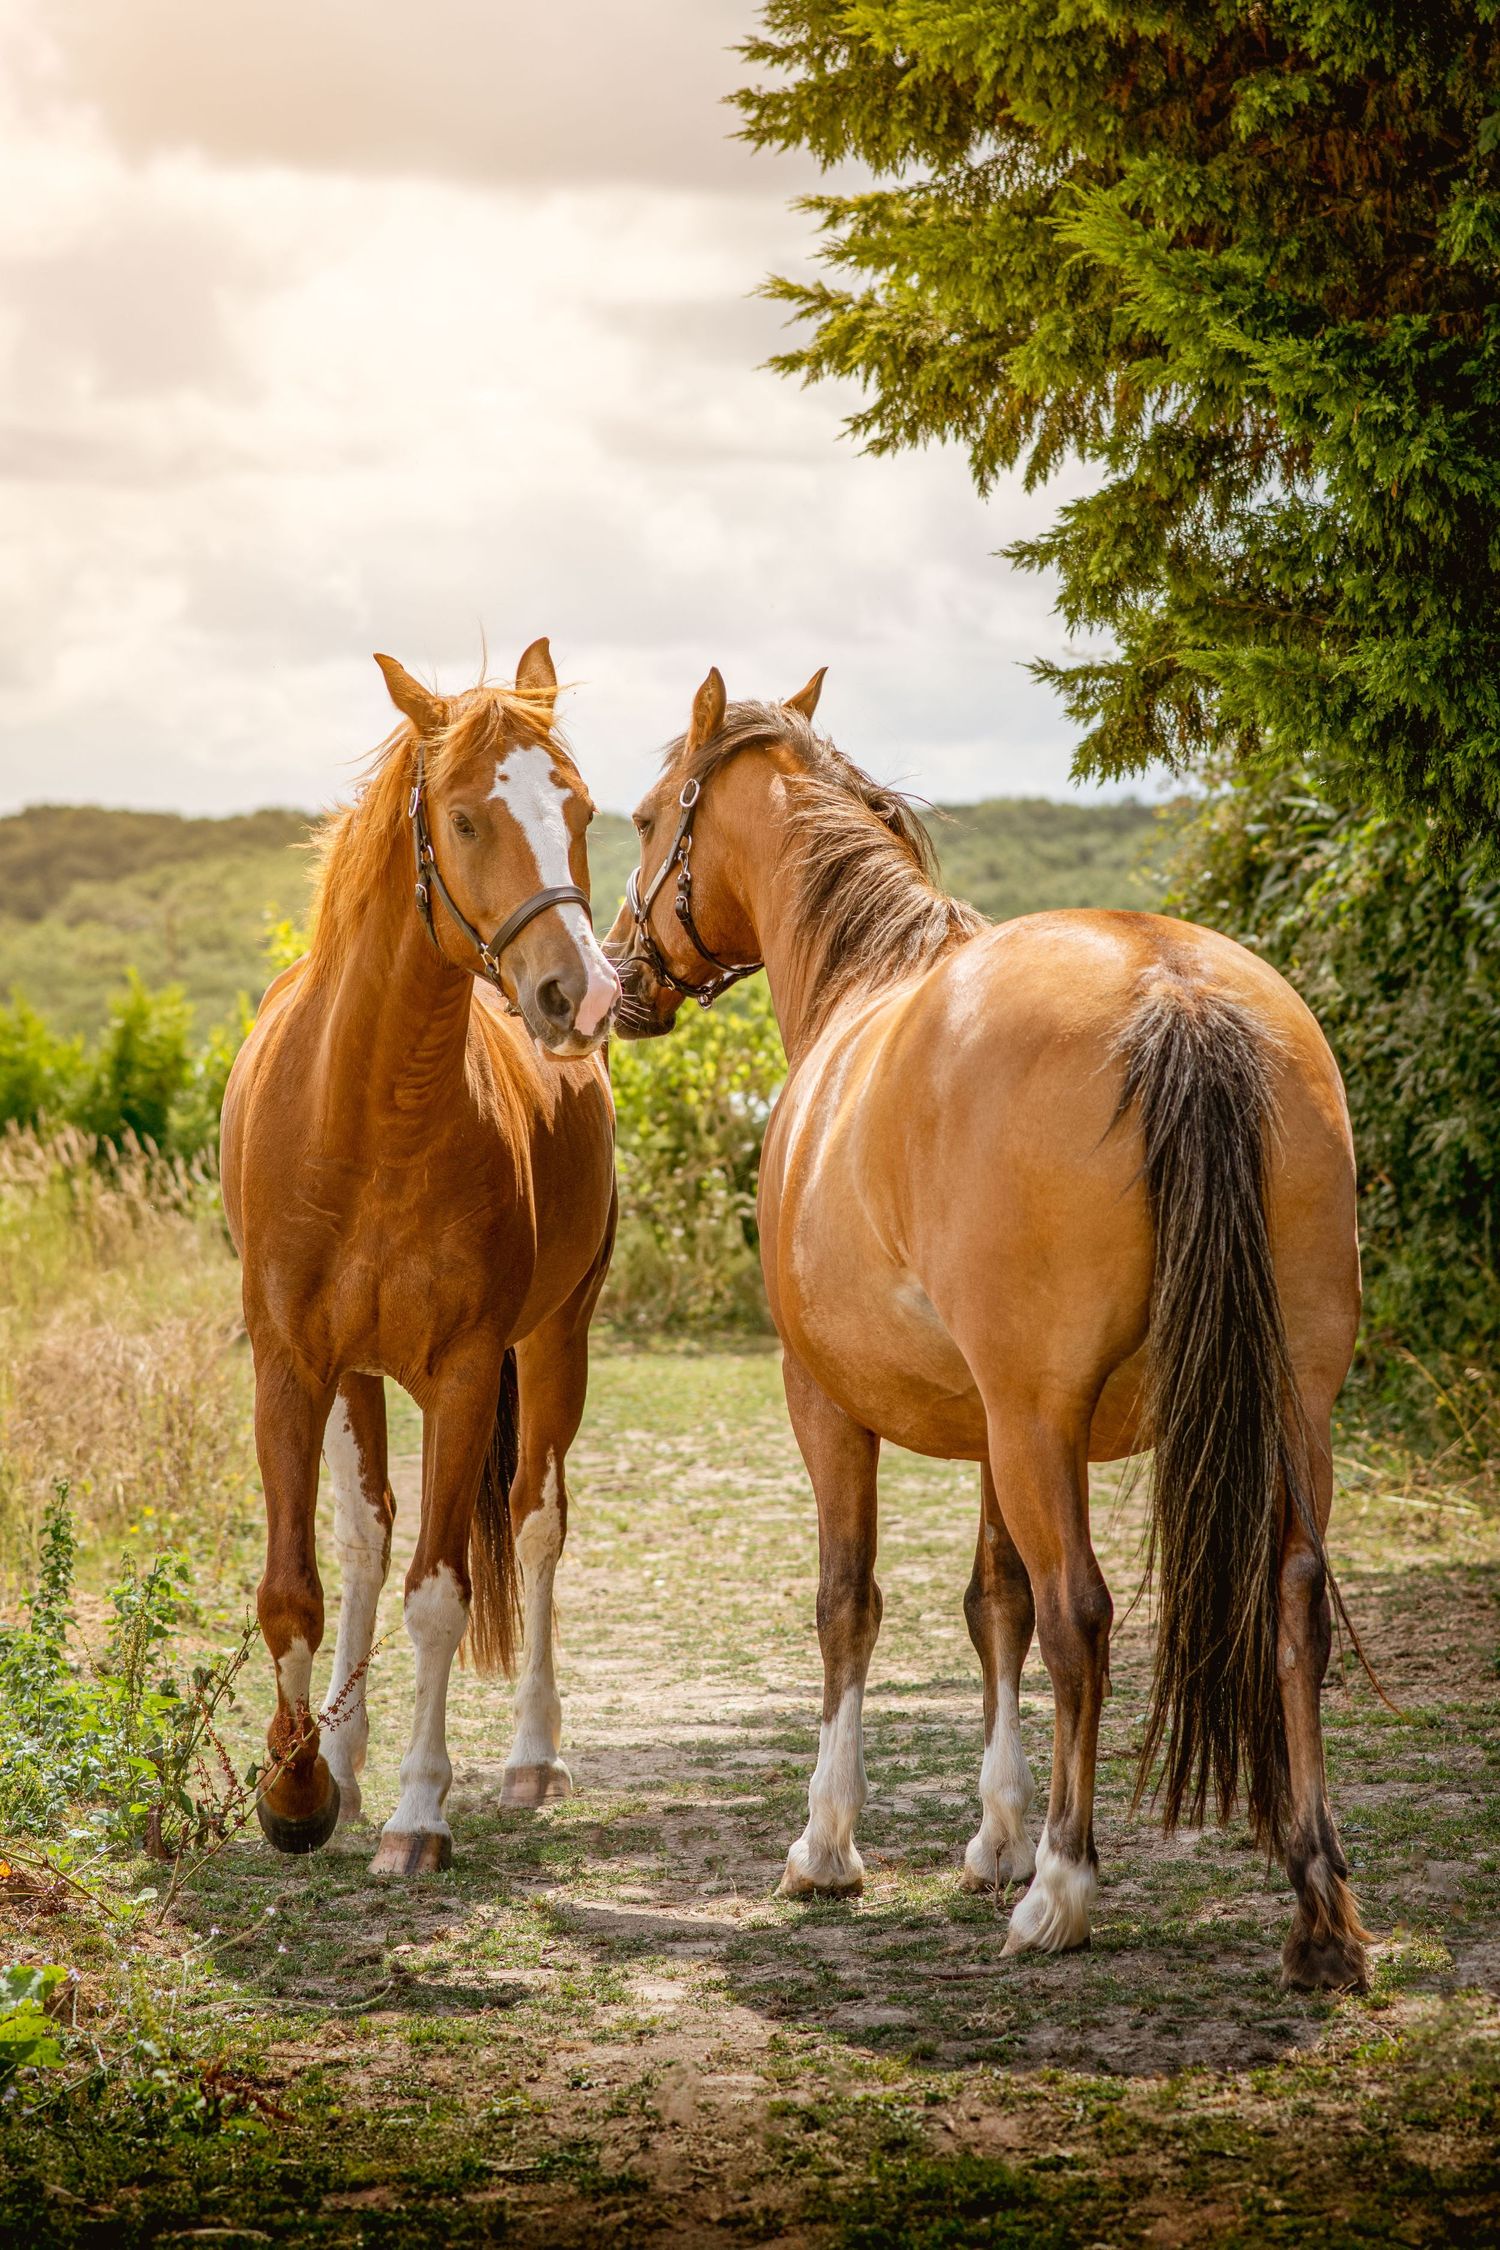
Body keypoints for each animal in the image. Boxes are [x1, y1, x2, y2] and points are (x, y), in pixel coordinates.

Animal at [221, 640, 619, 1876]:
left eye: (581, 808)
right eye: (466, 817)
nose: (580, 993)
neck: (371, 1115)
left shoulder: (463, 1372)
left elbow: (441, 1592)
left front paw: (417, 1814)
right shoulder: (290, 1366)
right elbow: (296, 1588)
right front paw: (299, 1790)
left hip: (556, 1344)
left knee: (535, 1526)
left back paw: (530, 1757)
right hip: (355, 1376)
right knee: (363, 1541)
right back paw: (342, 1761)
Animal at [605, 666, 1369, 1991]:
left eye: (651, 819)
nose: (615, 972)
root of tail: (1175, 987)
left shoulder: (833, 1405)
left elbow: (850, 1604)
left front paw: (831, 1845)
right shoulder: (989, 1433)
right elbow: (991, 1605)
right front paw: (996, 1835)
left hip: (1039, 1425)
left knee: (1086, 1620)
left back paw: (1065, 1890)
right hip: (1278, 1410)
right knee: (1292, 1605)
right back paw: (1316, 1904)